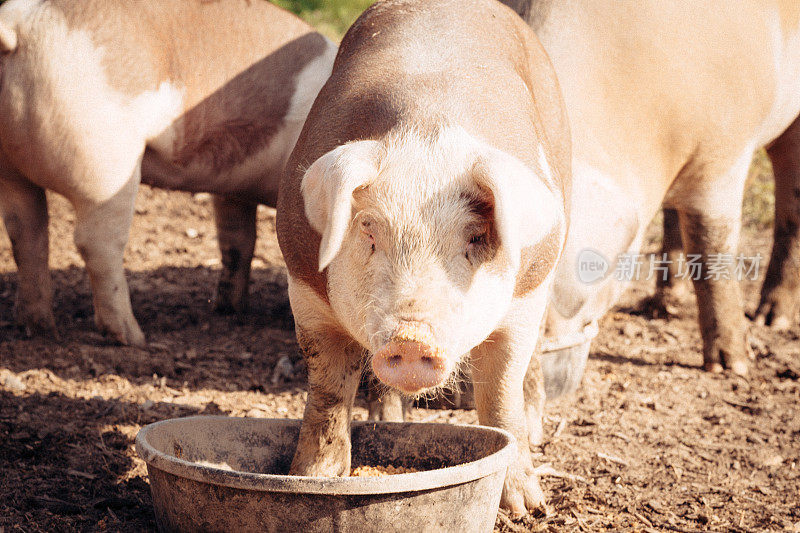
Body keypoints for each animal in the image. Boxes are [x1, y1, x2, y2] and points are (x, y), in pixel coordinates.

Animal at [0, 0, 334, 344]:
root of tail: (19, 24)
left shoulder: (235, 189)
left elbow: (237, 240)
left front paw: (230, 309)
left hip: (11, 171)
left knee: (26, 235)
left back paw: (38, 327)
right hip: (103, 167)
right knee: (95, 244)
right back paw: (132, 337)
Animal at [278, 0, 572, 516]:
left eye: (474, 237)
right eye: (368, 229)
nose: (411, 337)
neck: (425, 134)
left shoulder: (525, 296)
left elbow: (501, 395)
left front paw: (525, 508)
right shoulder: (304, 286)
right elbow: (328, 391)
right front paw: (310, 480)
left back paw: (537, 429)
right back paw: (390, 418)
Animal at [500, 0, 800, 392]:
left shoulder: (725, 151)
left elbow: (712, 246)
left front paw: (731, 367)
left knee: (790, 201)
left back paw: (769, 321)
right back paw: (661, 307)